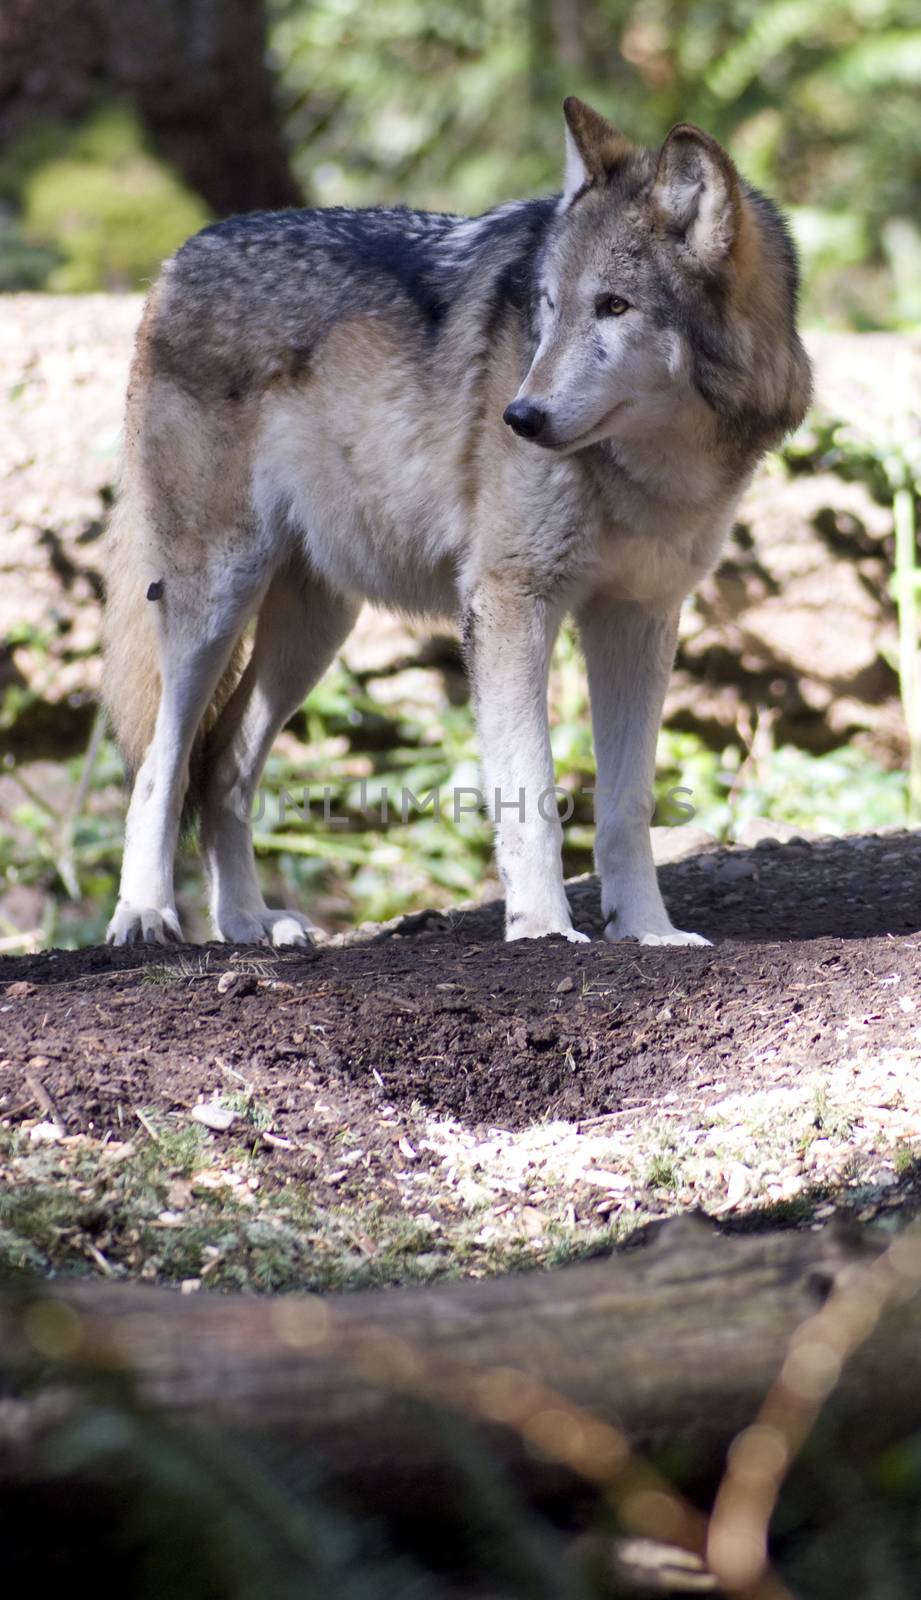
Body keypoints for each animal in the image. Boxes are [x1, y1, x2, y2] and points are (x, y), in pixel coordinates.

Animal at [100, 96, 809, 947]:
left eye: (613, 307)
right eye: (546, 308)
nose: (519, 417)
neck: (651, 470)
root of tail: (178, 258)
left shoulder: (636, 619)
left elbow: (625, 806)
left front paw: (646, 934)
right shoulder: (508, 603)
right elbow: (530, 793)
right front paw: (542, 929)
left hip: (312, 632)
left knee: (224, 766)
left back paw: (248, 924)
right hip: (213, 600)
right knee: (160, 766)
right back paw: (145, 914)